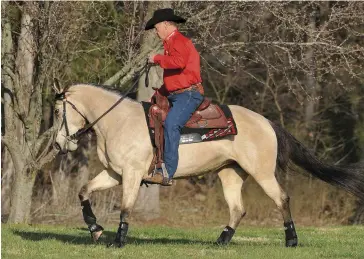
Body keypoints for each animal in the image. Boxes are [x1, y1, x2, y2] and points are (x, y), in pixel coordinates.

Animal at [52, 83, 364, 250]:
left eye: (56, 111)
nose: (57, 145)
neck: (118, 121)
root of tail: (266, 122)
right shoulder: (114, 173)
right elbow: (84, 191)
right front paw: (95, 229)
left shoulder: (131, 174)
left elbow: (126, 208)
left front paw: (117, 241)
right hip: (230, 174)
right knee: (238, 209)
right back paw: (221, 241)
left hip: (262, 173)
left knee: (282, 199)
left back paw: (291, 240)